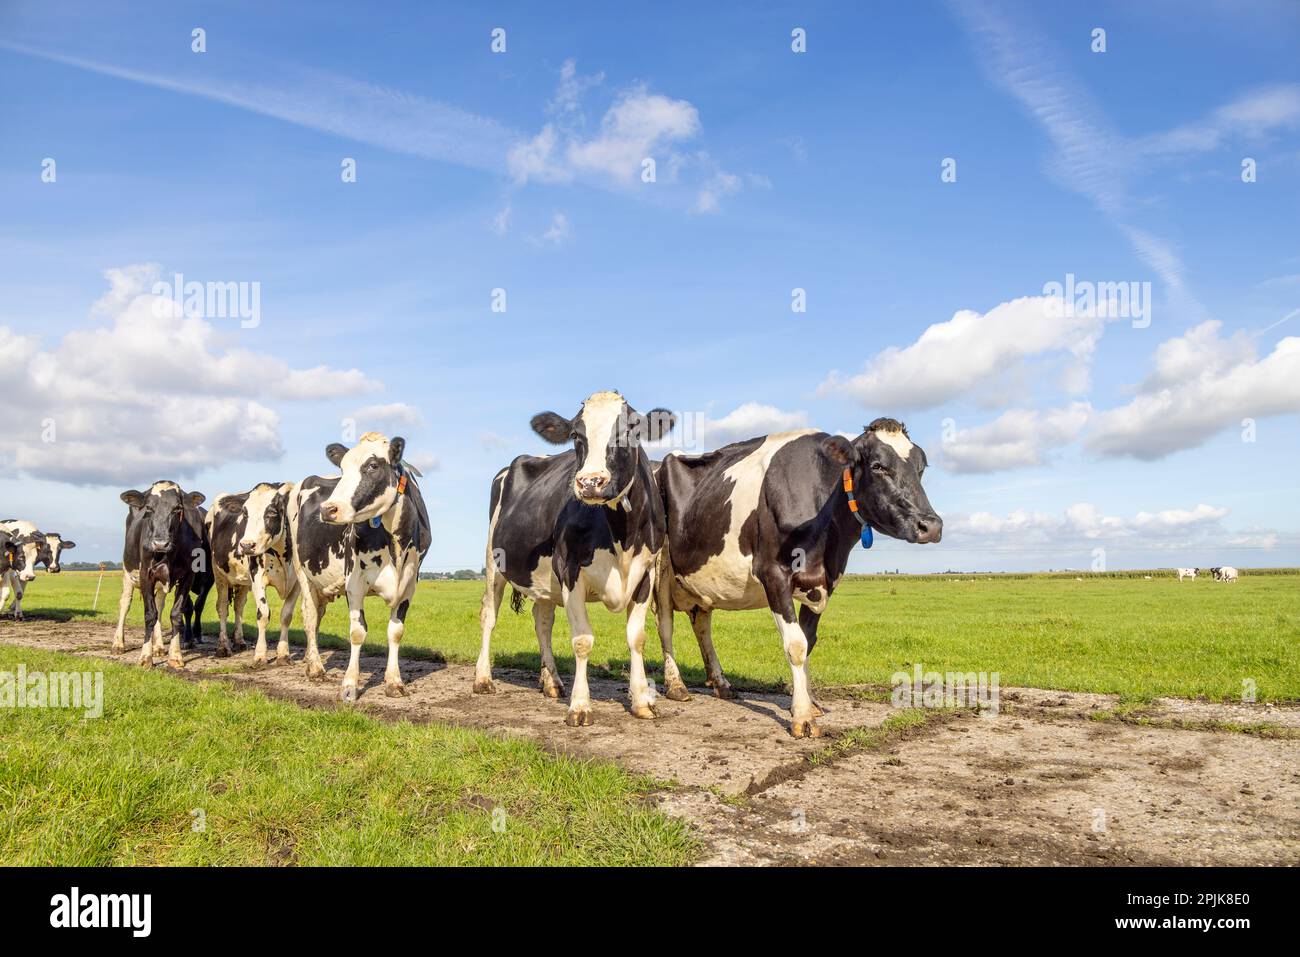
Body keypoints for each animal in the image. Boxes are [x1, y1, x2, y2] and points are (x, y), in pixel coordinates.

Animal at [110, 481, 213, 668]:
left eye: (177, 508)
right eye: (149, 508)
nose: (160, 543)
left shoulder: (188, 576)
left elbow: (176, 613)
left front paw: (175, 655)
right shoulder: (145, 574)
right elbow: (150, 615)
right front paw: (145, 657)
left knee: (159, 605)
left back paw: (158, 646)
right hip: (128, 571)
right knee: (125, 603)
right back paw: (118, 644)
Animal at [207, 482, 299, 665]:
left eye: (271, 512)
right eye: (245, 513)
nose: (246, 545)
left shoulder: (298, 583)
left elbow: (286, 615)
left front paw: (283, 654)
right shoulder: (257, 578)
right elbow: (263, 614)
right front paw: (260, 655)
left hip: (243, 580)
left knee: (238, 606)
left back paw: (239, 641)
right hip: (219, 573)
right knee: (222, 608)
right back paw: (223, 647)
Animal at [288, 432, 430, 702]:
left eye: (372, 466)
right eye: (342, 469)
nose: (328, 509)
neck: (395, 547)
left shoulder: (409, 584)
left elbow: (396, 631)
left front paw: (394, 682)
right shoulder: (353, 582)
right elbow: (357, 632)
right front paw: (349, 685)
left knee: (317, 615)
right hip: (302, 571)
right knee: (310, 616)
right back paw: (316, 668)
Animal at [475, 391, 675, 726]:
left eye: (629, 432)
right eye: (576, 436)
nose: (590, 482)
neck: (622, 535)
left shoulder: (646, 573)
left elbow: (636, 638)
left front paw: (641, 702)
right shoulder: (569, 571)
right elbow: (583, 641)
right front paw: (580, 706)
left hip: (542, 578)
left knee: (542, 620)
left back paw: (552, 682)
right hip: (494, 562)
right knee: (489, 615)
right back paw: (482, 678)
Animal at [654, 418, 942, 738]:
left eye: (921, 468)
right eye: (878, 466)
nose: (931, 525)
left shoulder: (824, 581)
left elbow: (809, 640)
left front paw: (808, 702)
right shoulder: (773, 573)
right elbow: (796, 645)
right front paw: (802, 716)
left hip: (701, 578)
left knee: (702, 623)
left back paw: (721, 682)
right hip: (659, 567)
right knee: (665, 624)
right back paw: (676, 686)